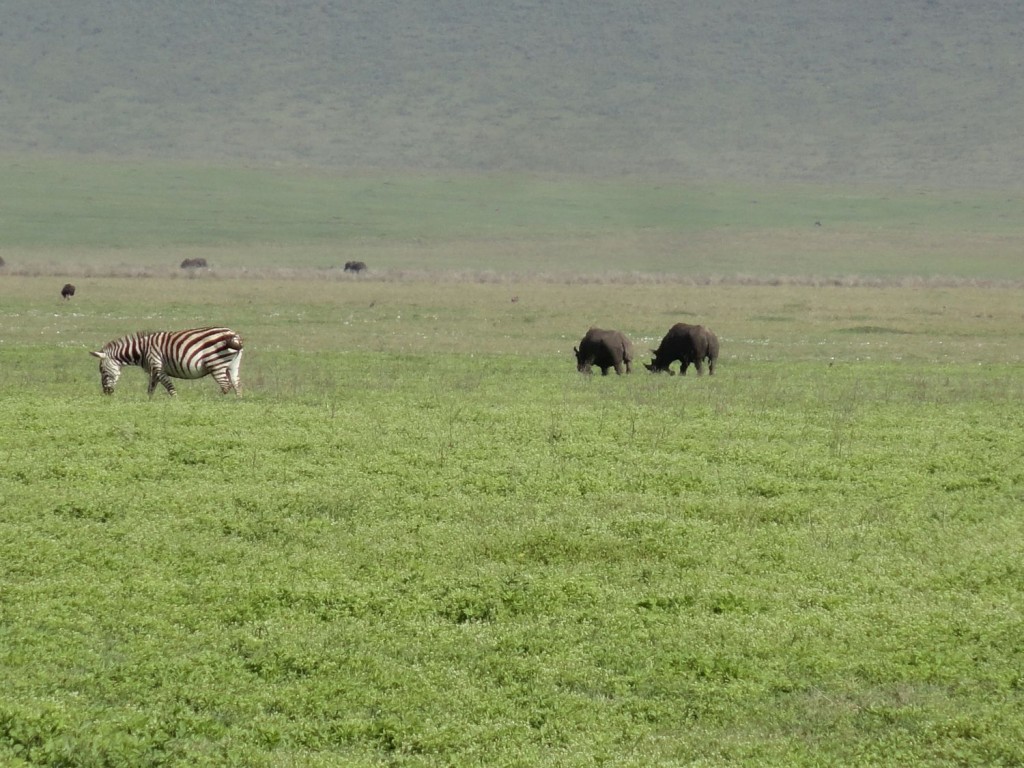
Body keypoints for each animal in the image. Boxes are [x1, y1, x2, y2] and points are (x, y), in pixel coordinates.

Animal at [90, 325, 243, 397]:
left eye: (102, 371)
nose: (106, 392)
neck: (142, 350)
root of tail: (233, 334)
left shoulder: (157, 366)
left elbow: (170, 388)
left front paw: (176, 403)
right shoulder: (153, 370)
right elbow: (150, 389)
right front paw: (148, 403)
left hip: (215, 363)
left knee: (226, 386)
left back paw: (214, 400)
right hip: (232, 364)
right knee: (236, 385)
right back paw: (236, 403)